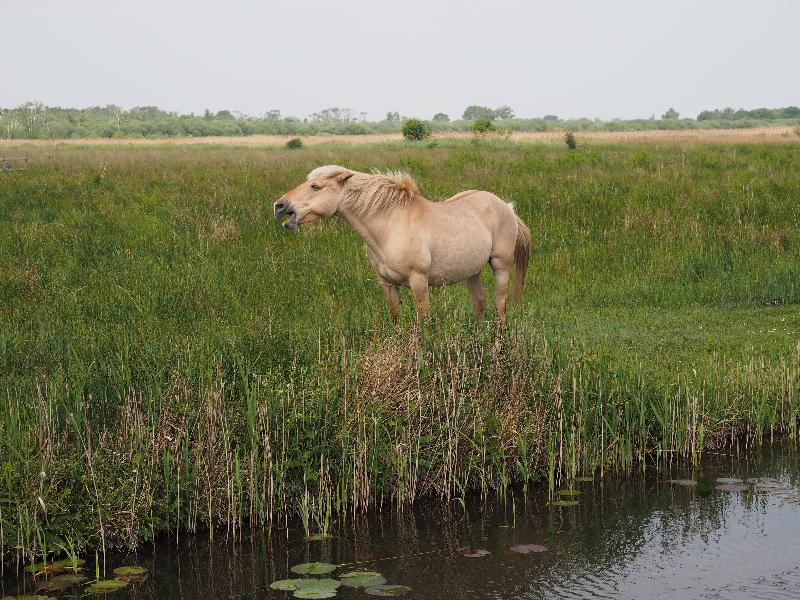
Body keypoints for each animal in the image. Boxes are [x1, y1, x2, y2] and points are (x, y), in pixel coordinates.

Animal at [274, 165, 531, 324]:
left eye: (315, 187)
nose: (279, 206)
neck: (390, 227)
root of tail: (506, 207)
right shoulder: (387, 284)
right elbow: (395, 317)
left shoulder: (419, 282)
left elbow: (424, 321)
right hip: (473, 272)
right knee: (480, 303)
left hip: (500, 266)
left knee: (500, 306)